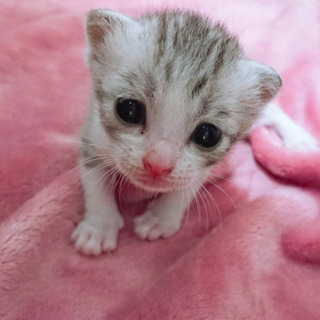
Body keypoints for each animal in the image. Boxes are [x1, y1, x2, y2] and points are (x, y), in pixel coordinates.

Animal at [70, 8, 318, 256]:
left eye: (208, 135)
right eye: (129, 110)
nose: (158, 165)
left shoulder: (202, 166)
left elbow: (187, 185)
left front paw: (161, 217)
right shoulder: (93, 132)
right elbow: (94, 179)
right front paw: (99, 226)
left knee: (272, 111)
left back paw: (300, 141)